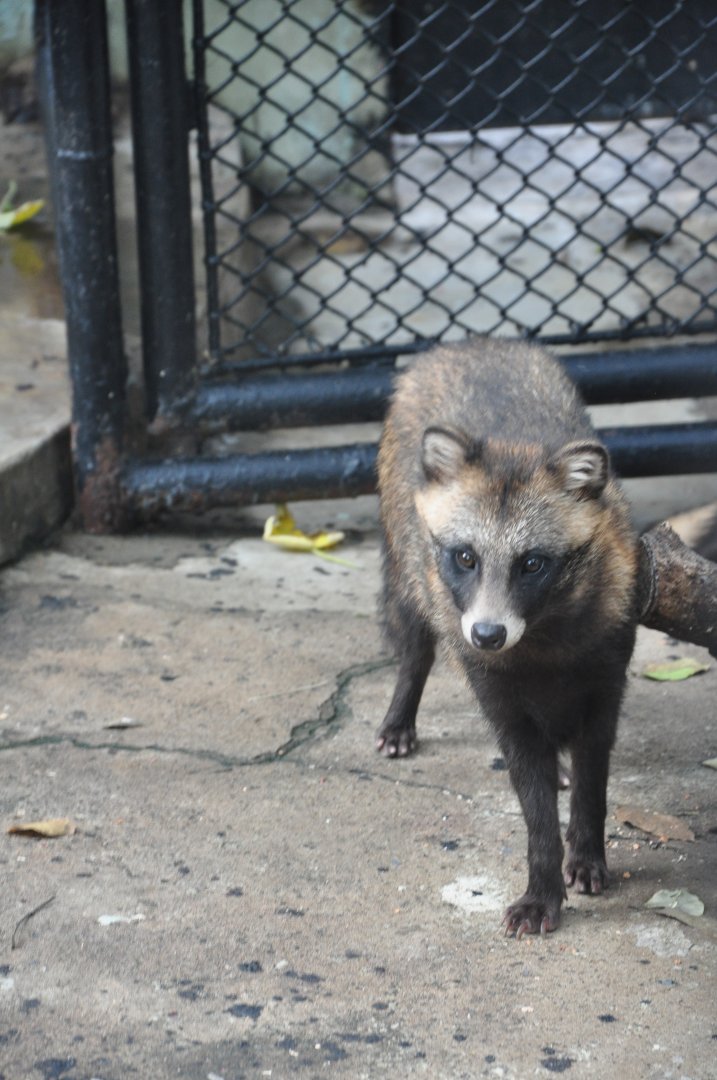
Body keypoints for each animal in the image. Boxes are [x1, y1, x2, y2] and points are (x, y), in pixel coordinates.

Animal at [376, 338, 639, 936]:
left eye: (533, 564)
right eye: (465, 557)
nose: (488, 634)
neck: (542, 641)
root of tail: (469, 343)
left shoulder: (607, 675)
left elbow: (593, 779)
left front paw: (586, 851)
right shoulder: (497, 696)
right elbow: (534, 809)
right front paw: (542, 886)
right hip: (406, 563)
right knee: (415, 644)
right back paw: (400, 712)